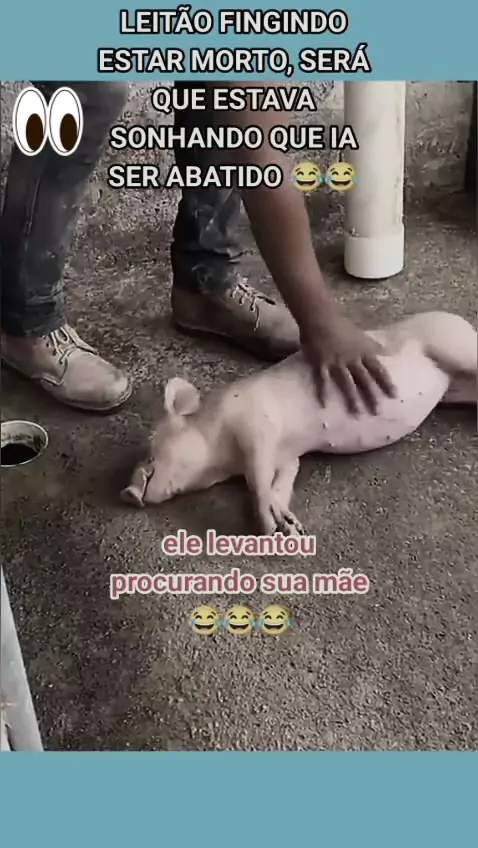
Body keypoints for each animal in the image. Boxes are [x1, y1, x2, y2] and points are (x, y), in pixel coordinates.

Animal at [121, 311, 477, 535]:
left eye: (151, 452)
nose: (126, 492)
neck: (223, 458)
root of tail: (462, 323)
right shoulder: (289, 456)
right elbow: (283, 480)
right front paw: (291, 528)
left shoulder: (256, 424)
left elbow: (257, 477)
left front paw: (271, 526)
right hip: (455, 387)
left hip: (451, 344)